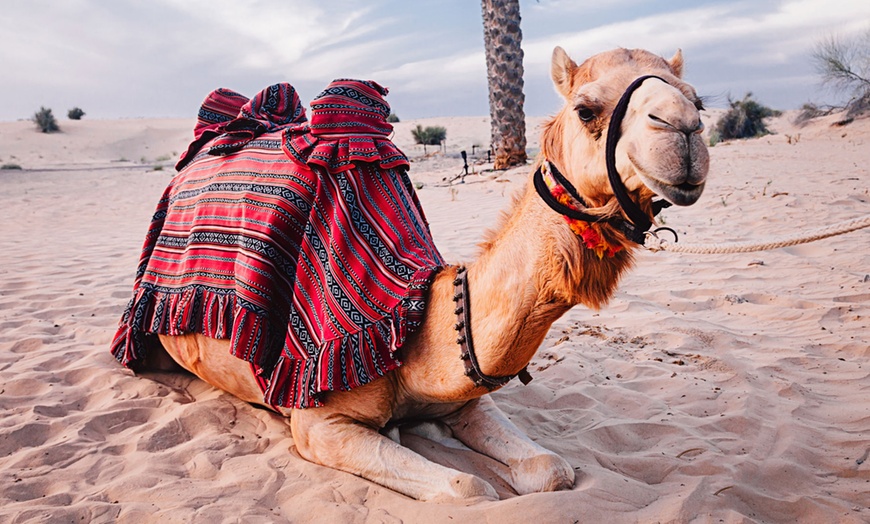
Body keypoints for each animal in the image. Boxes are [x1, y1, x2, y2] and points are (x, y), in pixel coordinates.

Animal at [140, 48, 708, 500]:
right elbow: (468, 486)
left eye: (698, 101)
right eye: (586, 109)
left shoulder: (465, 397)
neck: (412, 321)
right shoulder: (317, 423)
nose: (683, 130)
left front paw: (429, 430)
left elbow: (552, 468)